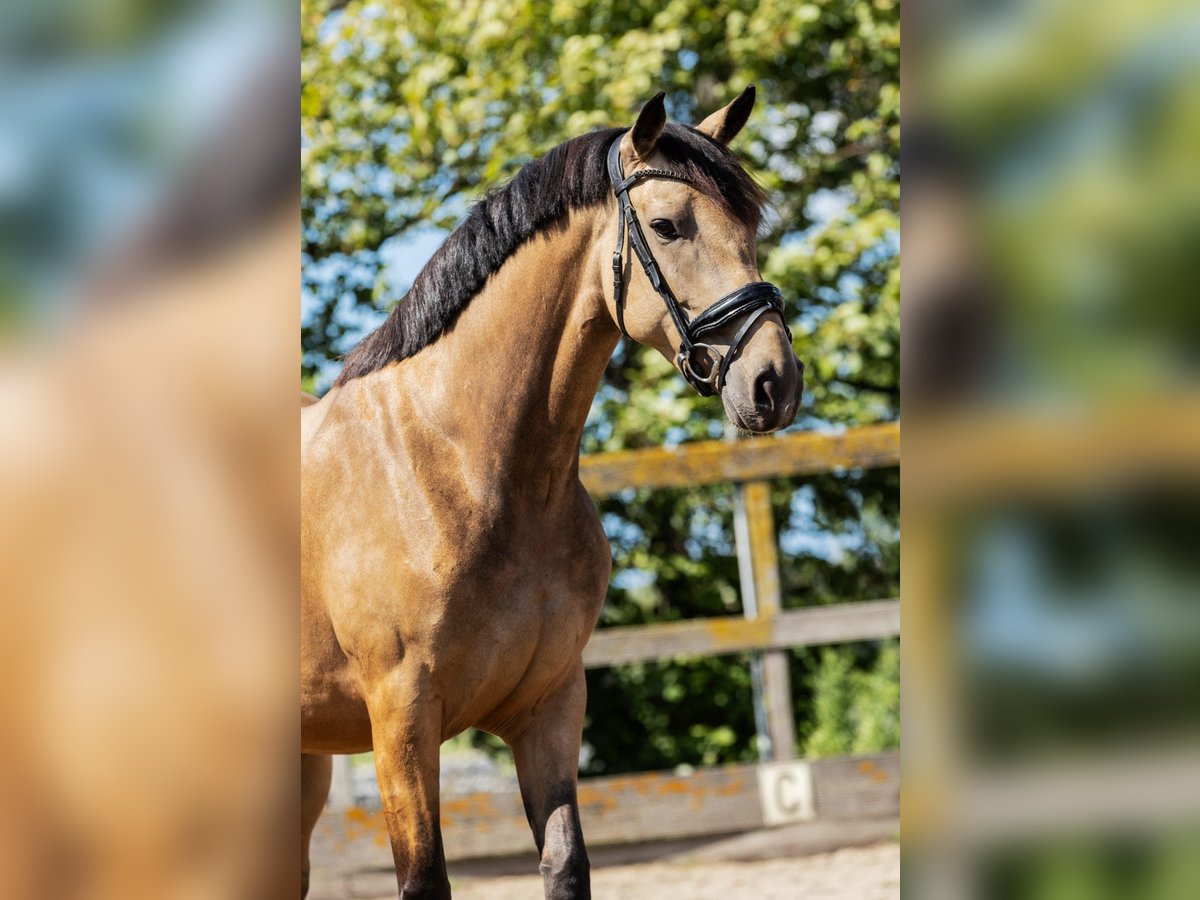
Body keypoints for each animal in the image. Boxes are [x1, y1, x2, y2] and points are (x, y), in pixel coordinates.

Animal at [300, 86, 804, 899]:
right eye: (666, 225)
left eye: (751, 226)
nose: (774, 383)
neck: (463, 471)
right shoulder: (401, 720)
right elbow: (425, 879)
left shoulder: (551, 708)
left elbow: (566, 863)